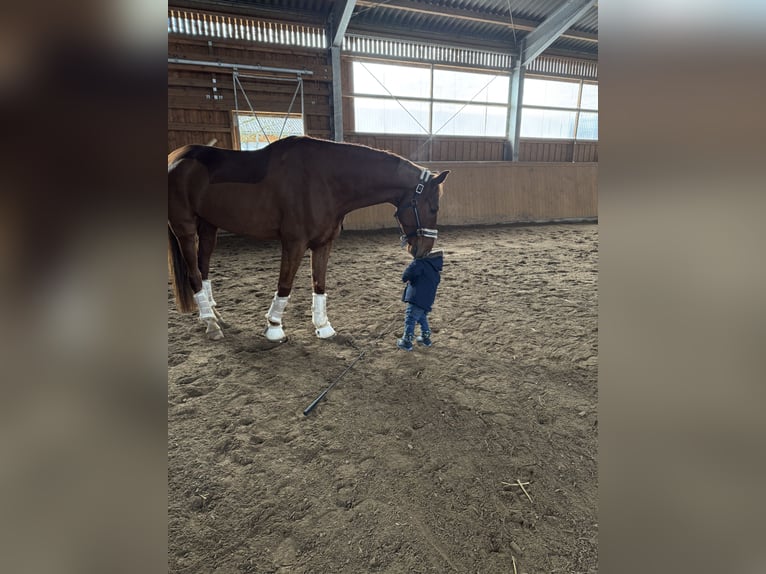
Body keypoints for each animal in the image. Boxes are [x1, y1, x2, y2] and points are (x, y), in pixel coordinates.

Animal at [165, 136, 448, 342]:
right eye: (433, 208)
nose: (425, 248)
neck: (324, 180)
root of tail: (174, 158)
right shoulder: (294, 243)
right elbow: (285, 284)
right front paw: (274, 327)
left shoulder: (323, 244)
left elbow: (319, 284)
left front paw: (323, 326)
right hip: (185, 229)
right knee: (193, 273)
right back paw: (211, 323)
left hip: (208, 226)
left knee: (203, 268)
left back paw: (214, 315)